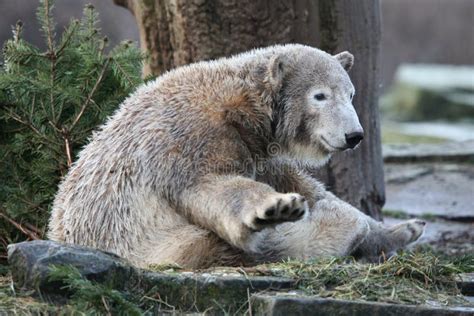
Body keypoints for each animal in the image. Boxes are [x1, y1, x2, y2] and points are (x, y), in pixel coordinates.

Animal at [48, 43, 426, 266]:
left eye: (350, 94)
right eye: (320, 96)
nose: (354, 135)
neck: (243, 106)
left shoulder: (262, 153)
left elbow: (302, 184)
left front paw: (398, 229)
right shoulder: (192, 138)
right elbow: (212, 187)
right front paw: (276, 207)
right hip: (164, 245)